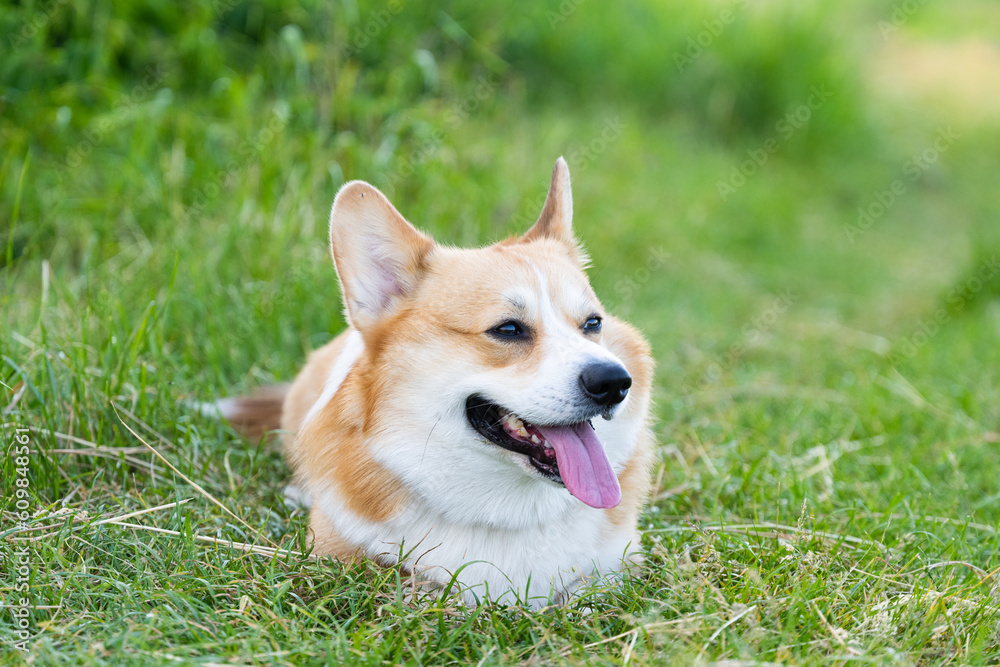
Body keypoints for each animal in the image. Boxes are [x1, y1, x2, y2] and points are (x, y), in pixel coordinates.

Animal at [222, 158, 652, 612]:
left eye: (593, 323)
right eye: (508, 329)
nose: (614, 382)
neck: (503, 509)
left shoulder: (619, 564)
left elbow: (590, 592)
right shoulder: (338, 553)